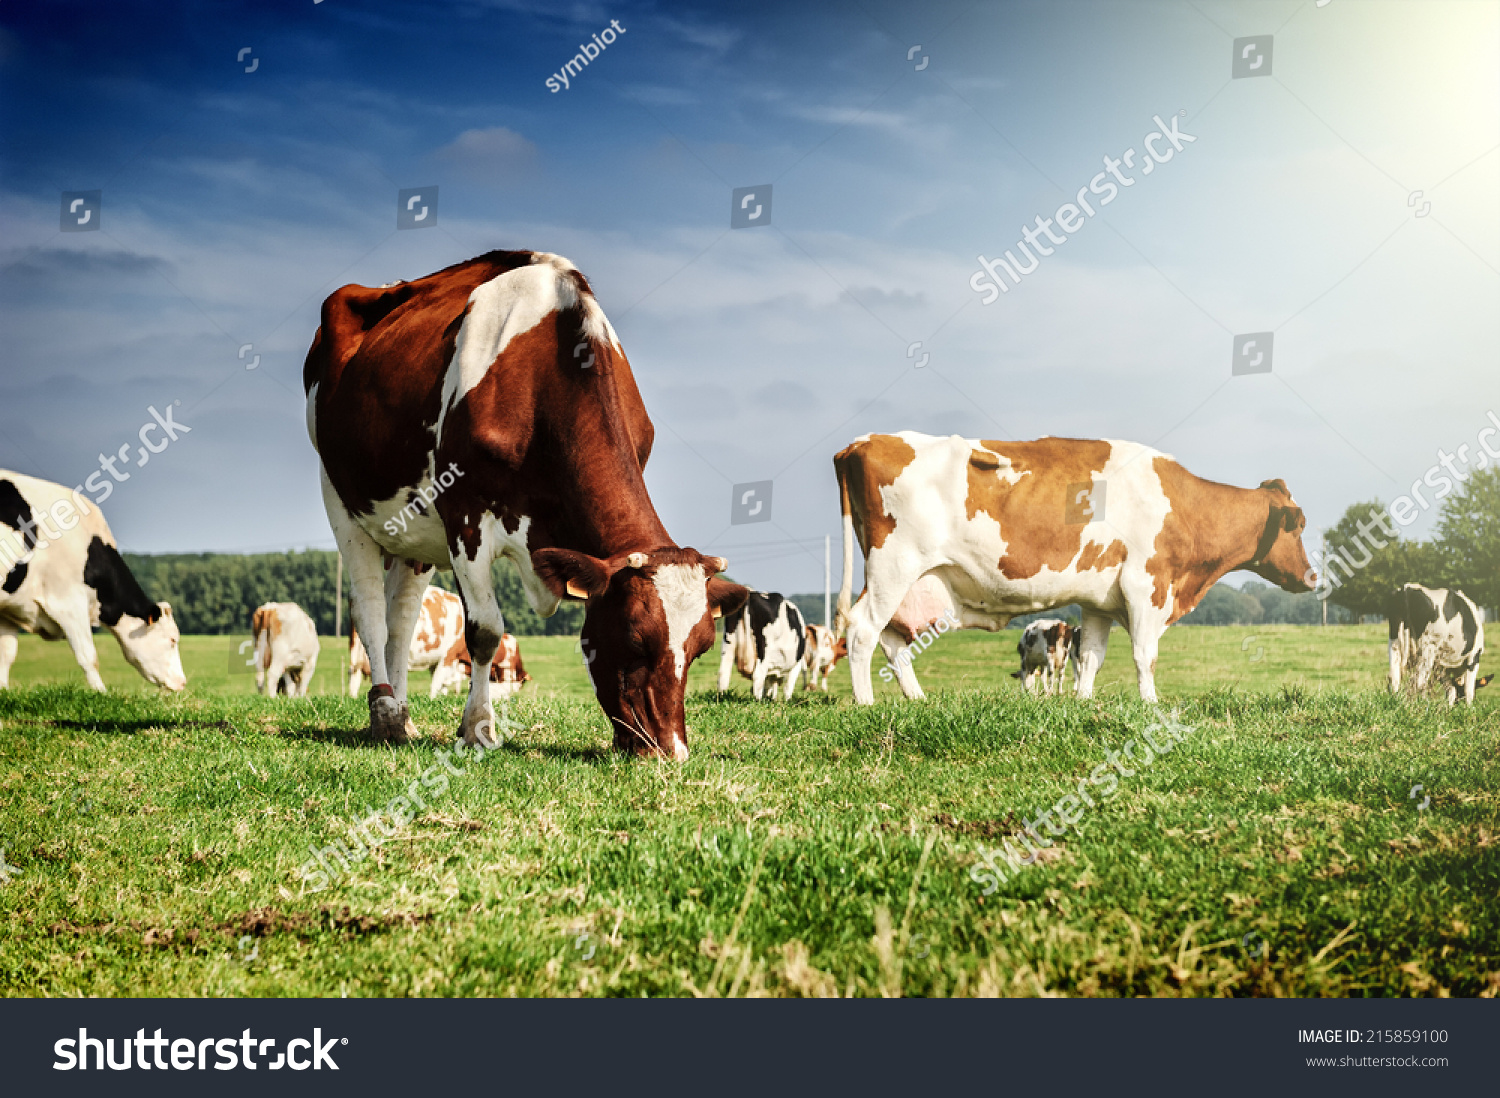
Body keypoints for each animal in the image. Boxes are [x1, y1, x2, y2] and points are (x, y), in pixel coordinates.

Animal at [0, 470, 186, 692]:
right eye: (173, 639)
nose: (183, 682)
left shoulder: (10, 609)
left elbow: (6, 655)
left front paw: (4, 690)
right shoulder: (68, 602)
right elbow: (89, 656)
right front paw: (101, 693)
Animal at [305, 249, 747, 755]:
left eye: (702, 646)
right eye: (635, 639)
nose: (671, 752)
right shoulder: (465, 515)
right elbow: (484, 630)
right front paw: (479, 727)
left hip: (415, 532)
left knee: (401, 618)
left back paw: (404, 717)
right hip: (341, 497)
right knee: (370, 612)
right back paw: (384, 713)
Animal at [834, 432, 1315, 705]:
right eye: (1299, 524)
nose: (1313, 576)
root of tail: (863, 441)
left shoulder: (1100, 599)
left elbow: (1091, 658)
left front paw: (1083, 703)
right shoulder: (1146, 584)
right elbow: (1145, 655)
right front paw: (1152, 705)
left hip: (909, 581)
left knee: (893, 640)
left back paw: (917, 699)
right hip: (893, 566)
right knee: (862, 630)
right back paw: (866, 704)